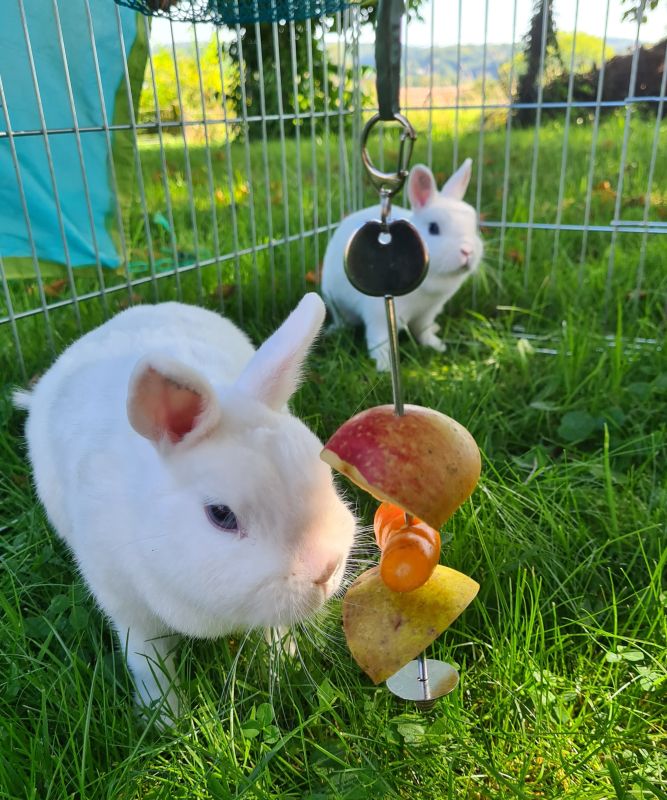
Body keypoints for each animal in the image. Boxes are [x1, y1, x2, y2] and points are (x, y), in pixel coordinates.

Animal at [13, 296, 358, 724]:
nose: (326, 570)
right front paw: (164, 719)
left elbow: (274, 632)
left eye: (324, 473)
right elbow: (149, 664)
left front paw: (286, 666)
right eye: (221, 515)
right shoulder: (128, 610)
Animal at [320, 159, 482, 372]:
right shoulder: (379, 316)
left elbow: (423, 331)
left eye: (473, 226)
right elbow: (379, 341)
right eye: (433, 228)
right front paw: (383, 367)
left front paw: (436, 346)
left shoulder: (428, 312)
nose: (467, 251)